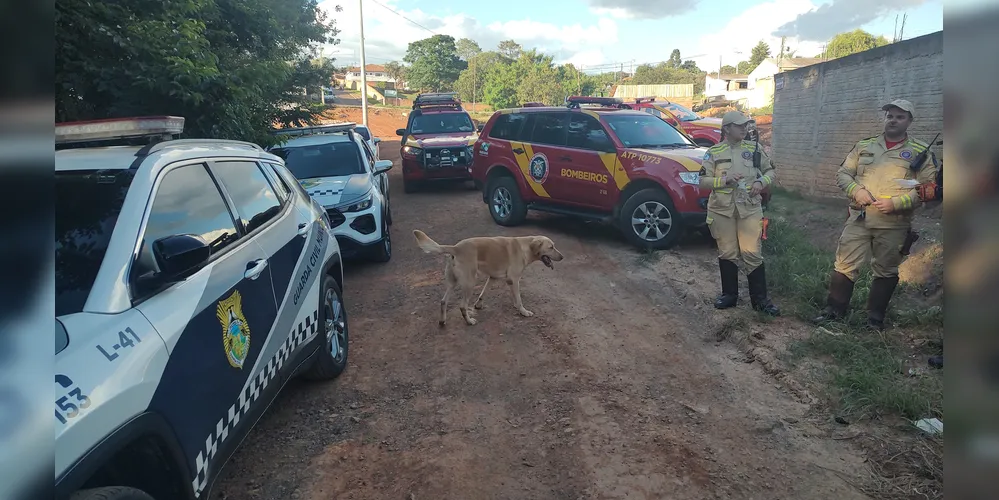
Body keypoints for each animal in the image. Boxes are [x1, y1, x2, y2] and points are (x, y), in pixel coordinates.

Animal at [414, 229, 568, 326]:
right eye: (551, 247)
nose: (562, 257)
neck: (525, 246)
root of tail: (455, 247)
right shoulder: (513, 280)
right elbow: (518, 298)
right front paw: (523, 311)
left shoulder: (493, 277)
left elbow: (484, 292)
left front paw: (479, 304)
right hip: (470, 283)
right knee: (462, 306)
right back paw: (469, 321)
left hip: (453, 282)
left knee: (443, 301)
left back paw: (442, 321)